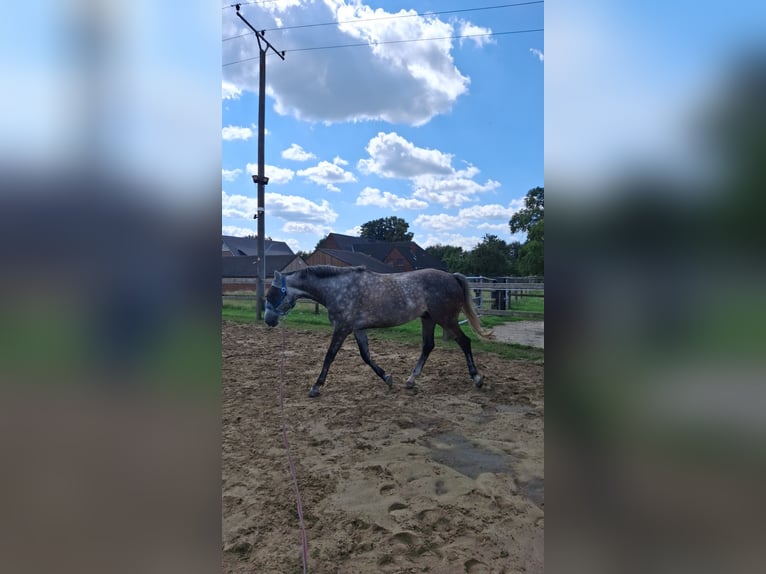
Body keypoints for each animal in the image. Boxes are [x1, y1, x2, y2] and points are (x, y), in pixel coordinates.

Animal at [266, 266, 492, 398]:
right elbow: (366, 356)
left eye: (272, 294)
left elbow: (329, 356)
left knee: (464, 342)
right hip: (428, 319)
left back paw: (477, 379)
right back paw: (410, 381)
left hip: (446, 320)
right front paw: (387, 378)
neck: (337, 287)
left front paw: (316, 387)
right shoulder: (357, 329)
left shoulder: (342, 328)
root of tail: (452, 276)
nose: (269, 320)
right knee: (428, 346)